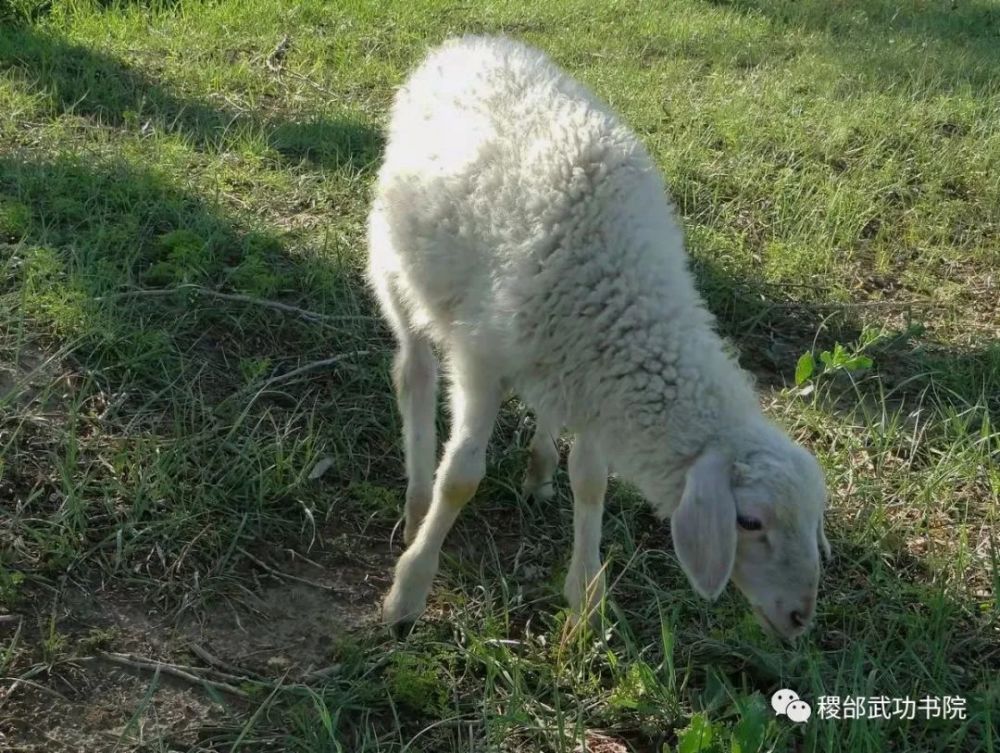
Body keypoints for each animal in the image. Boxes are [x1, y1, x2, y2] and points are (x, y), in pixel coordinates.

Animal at [368, 32, 828, 636]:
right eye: (749, 521)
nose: (800, 618)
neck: (626, 299)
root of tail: (470, 41)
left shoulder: (591, 380)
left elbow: (590, 481)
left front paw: (586, 598)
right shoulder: (481, 362)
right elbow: (462, 477)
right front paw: (409, 589)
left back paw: (538, 471)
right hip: (395, 263)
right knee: (414, 374)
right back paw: (417, 499)